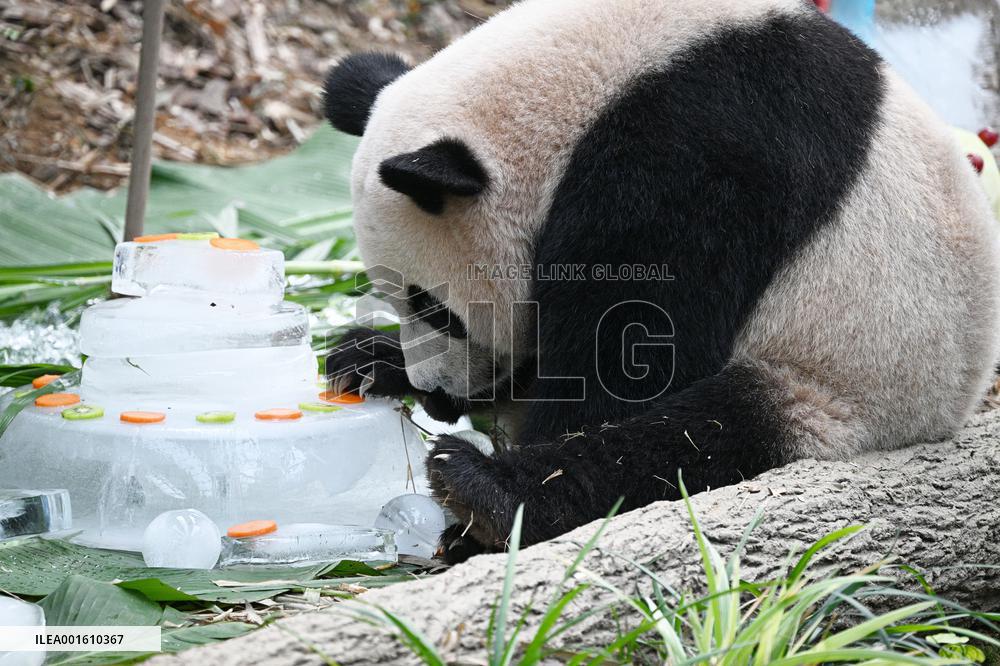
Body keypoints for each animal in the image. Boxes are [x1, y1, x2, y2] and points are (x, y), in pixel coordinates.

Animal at [322, 0, 1000, 561]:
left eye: (435, 308)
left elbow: (635, 344)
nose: (435, 394)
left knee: (693, 440)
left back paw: (486, 495)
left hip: (838, 387)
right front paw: (374, 355)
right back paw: (369, 364)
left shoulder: (702, 149)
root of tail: (939, 418)